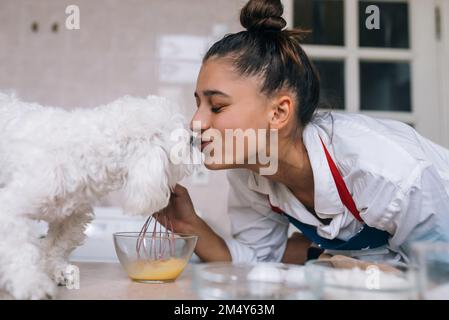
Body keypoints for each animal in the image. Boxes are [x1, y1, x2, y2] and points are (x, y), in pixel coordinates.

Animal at [0, 92, 200, 300]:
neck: (85, 153)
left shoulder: (71, 218)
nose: (194, 138)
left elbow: (56, 247)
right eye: (184, 141)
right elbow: (20, 251)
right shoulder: (11, 211)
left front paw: (55, 271)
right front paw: (31, 283)